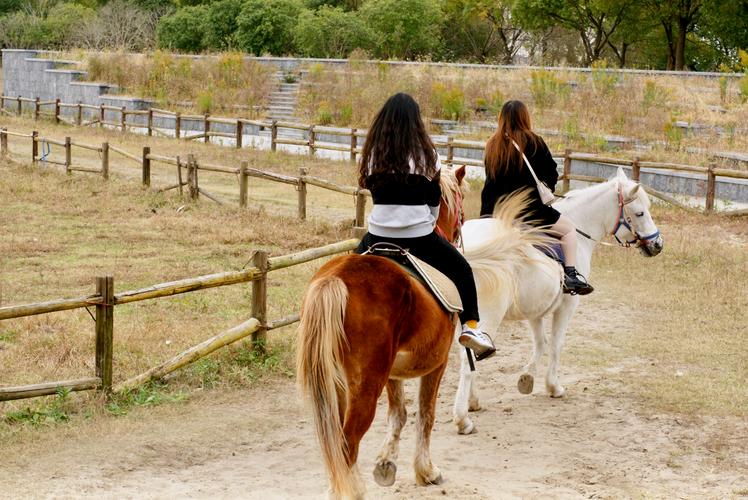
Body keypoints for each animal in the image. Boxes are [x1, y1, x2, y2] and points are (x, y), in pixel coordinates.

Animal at [298, 167, 468, 496]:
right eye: (460, 197)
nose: (461, 225)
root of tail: (337, 279)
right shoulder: (437, 364)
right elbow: (425, 414)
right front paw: (426, 471)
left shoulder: (393, 372)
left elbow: (399, 414)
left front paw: (386, 464)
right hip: (365, 386)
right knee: (347, 443)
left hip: (337, 384)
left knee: (337, 445)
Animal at [452, 168, 664, 434]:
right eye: (640, 213)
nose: (657, 245)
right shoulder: (567, 305)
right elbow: (556, 344)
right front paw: (553, 386)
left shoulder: (535, 309)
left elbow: (540, 343)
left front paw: (527, 379)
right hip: (487, 316)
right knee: (466, 356)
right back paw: (463, 419)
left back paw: (473, 402)